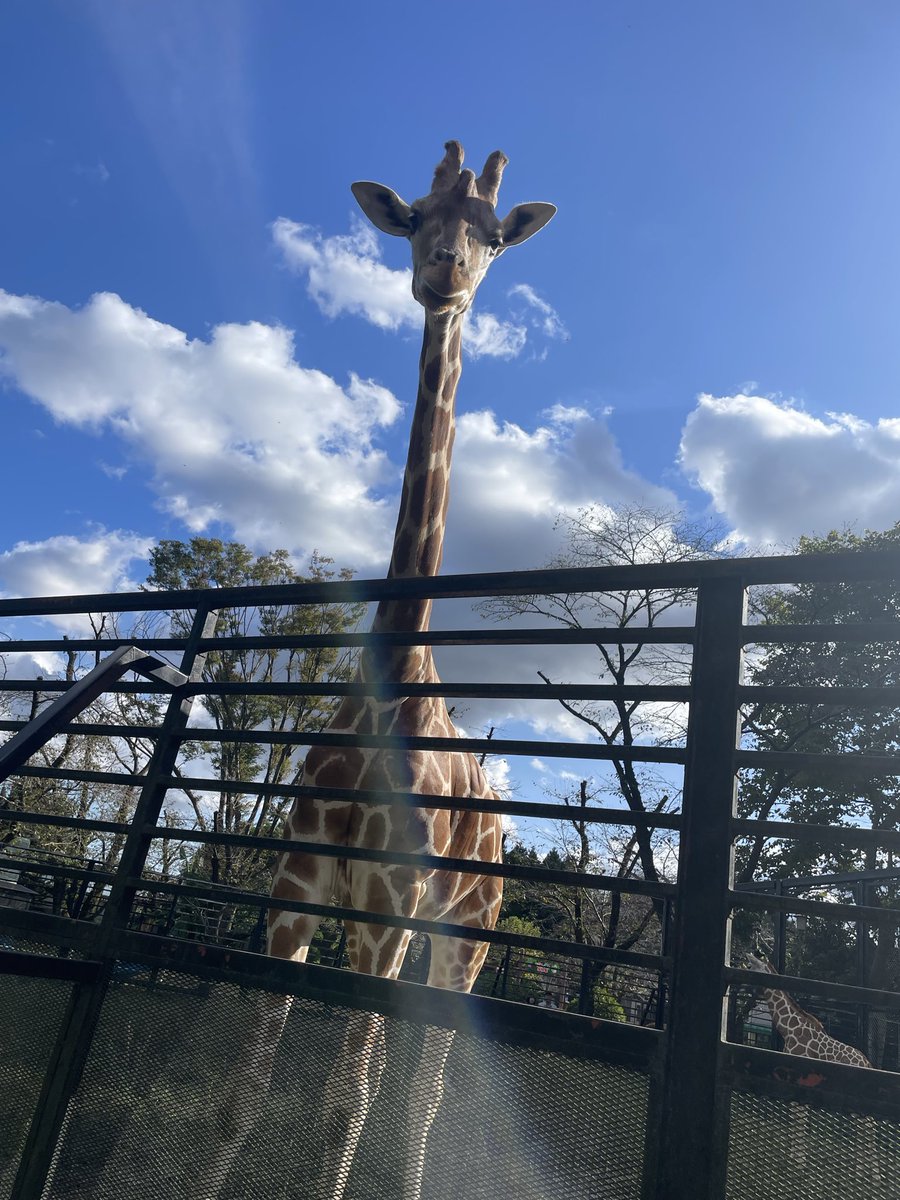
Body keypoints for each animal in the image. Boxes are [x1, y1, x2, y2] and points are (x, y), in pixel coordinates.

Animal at [193, 142, 555, 1200]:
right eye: (416, 218)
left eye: (491, 235)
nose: (444, 275)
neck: (393, 664)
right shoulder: (297, 890)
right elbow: (242, 1094)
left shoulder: (387, 910)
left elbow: (343, 1103)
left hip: (465, 935)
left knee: (423, 1085)